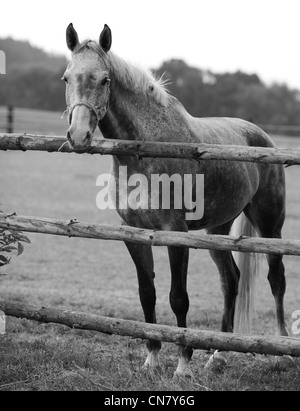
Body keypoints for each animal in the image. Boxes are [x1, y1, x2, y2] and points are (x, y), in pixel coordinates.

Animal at [63, 22, 288, 374]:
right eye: (66, 78)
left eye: (105, 80)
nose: (78, 135)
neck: (144, 151)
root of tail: (262, 137)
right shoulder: (133, 234)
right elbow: (148, 294)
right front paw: (152, 358)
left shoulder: (176, 233)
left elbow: (178, 297)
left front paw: (182, 363)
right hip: (217, 231)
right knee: (231, 280)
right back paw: (218, 354)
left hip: (269, 224)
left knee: (276, 278)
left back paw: (283, 350)